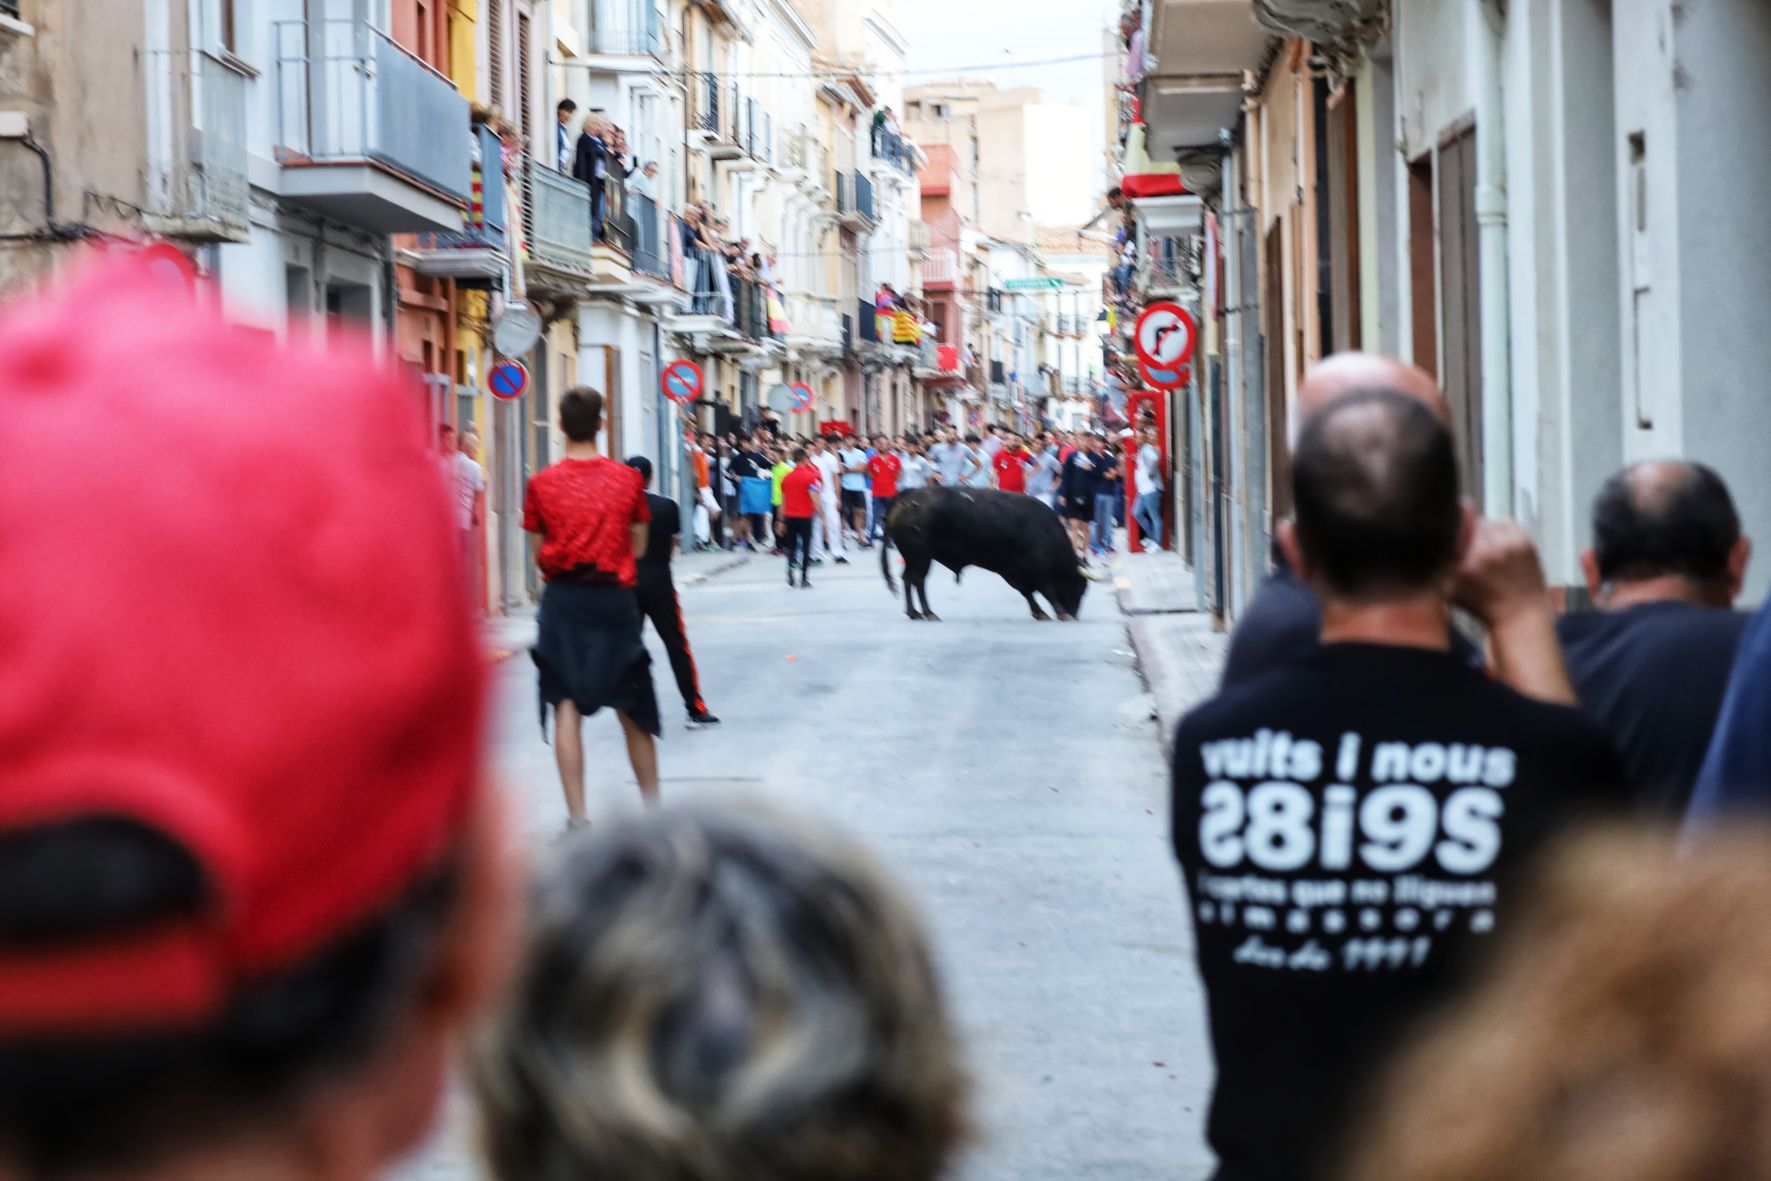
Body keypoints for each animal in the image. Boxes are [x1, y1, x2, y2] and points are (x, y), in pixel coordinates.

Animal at [878, 488, 1083, 623]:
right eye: (1080, 588)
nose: (1074, 615)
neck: (1047, 530)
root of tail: (906, 495)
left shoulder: (1012, 570)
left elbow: (1027, 592)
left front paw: (1039, 613)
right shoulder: (1037, 567)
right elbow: (1047, 590)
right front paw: (1060, 613)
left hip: (913, 557)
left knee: (907, 578)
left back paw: (914, 612)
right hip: (921, 556)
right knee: (918, 580)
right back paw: (928, 613)